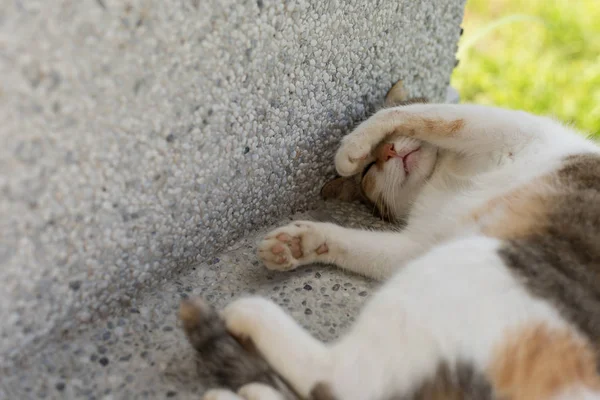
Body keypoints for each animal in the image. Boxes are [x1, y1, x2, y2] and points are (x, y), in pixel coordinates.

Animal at [182, 82, 600, 400]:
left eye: (377, 154)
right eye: (371, 169)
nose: (385, 151)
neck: (445, 176)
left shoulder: (502, 126)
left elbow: (413, 114)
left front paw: (350, 146)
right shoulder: (419, 244)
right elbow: (356, 244)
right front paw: (298, 243)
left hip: (470, 261)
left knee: (341, 379)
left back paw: (248, 321)